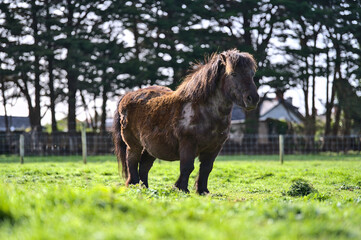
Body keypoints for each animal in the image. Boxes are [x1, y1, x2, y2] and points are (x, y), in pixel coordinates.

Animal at [112, 49, 258, 194]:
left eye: (252, 74)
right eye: (233, 73)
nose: (253, 99)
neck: (203, 111)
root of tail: (127, 96)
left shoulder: (215, 147)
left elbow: (206, 168)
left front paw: (202, 191)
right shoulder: (188, 143)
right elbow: (187, 167)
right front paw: (182, 188)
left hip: (150, 147)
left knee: (144, 165)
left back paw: (145, 188)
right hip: (134, 144)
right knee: (132, 161)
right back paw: (134, 185)